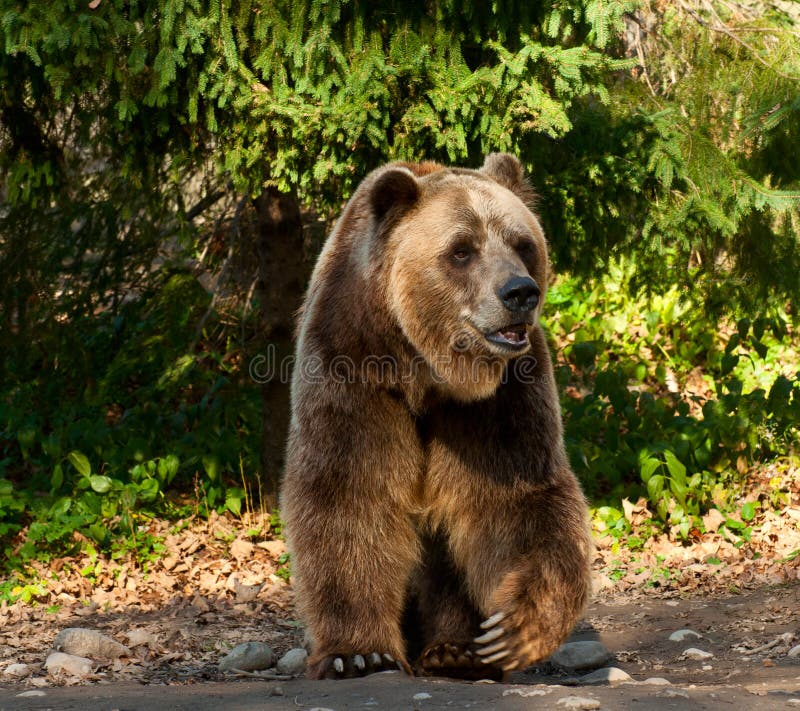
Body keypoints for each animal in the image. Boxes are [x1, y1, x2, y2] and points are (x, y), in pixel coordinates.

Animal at [282, 153, 592, 680]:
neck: (427, 369)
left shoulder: (499, 400)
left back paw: (456, 650)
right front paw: (358, 654)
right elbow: (348, 494)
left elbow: (517, 500)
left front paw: (515, 629)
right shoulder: (352, 364)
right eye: (462, 250)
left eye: (523, 243)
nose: (519, 293)